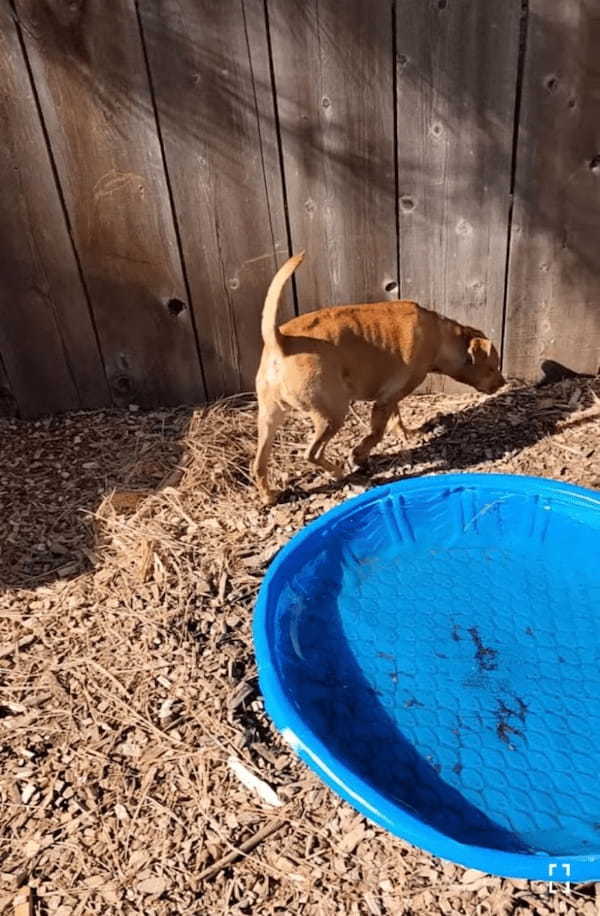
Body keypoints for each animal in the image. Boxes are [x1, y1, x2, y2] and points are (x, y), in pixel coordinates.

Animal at [251, 254, 504, 504]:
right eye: (493, 367)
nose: (504, 383)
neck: (441, 338)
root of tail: (280, 342)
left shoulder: (391, 397)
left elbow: (396, 419)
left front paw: (405, 434)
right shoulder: (385, 400)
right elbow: (376, 433)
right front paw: (359, 455)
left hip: (269, 418)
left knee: (259, 463)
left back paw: (268, 495)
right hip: (332, 416)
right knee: (311, 453)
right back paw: (338, 471)